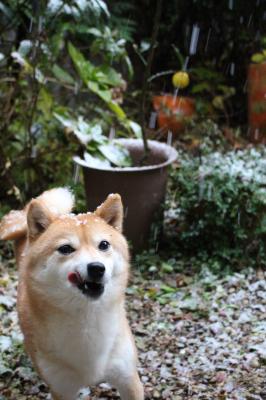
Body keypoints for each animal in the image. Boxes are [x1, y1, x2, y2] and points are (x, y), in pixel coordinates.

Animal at [0, 188, 144, 400]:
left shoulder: (128, 379)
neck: (87, 319)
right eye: (66, 248)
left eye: (104, 245)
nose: (96, 268)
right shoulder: (61, 388)